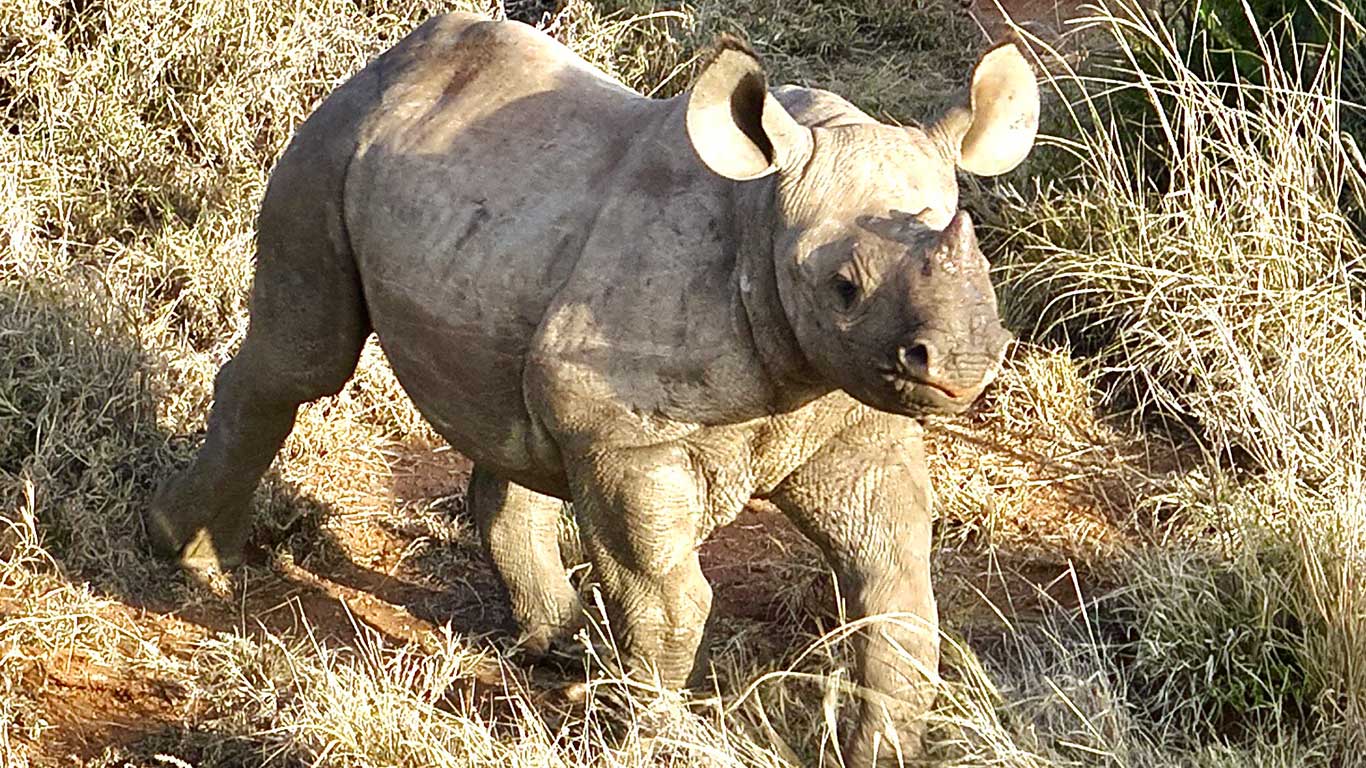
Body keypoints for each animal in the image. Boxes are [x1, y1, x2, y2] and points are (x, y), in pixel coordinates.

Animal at [147, 12, 1037, 764]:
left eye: (983, 272)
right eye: (844, 287)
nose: (962, 363)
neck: (766, 221)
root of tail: (390, 61)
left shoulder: (851, 423)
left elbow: (895, 589)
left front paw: (882, 752)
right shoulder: (628, 431)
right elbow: (671, 600)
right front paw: (650, 738)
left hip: (489, 214)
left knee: (503, 410)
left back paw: (560, 648)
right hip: (329, 145)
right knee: (304, 363)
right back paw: (193, 561)